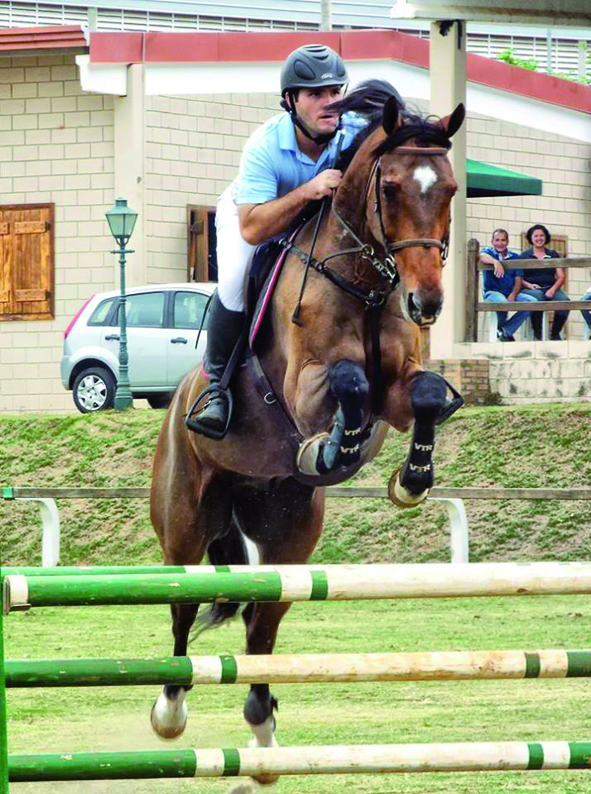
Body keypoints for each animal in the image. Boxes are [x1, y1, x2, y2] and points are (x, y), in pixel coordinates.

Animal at [150, 82, 464, 784]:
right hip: (185, 528)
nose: (427, 303)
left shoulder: (400, 386)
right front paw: (331, 447)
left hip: (288, 544)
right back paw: (170, 712)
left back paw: (264, 739)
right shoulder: (306, 384)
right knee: (182, 610)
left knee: (262, 629)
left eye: (452, 190)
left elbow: (426, 395)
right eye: (392, 189)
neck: (368, 284)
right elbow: (346, 385)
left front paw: (411, 479)